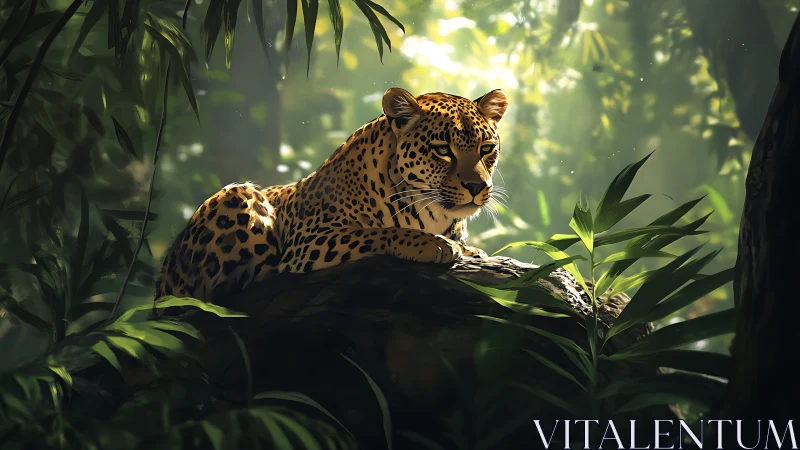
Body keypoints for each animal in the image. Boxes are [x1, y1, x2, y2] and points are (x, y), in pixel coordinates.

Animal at [154, 87, 508, 306]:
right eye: (442, 150)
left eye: (486, 149)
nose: (477, 187)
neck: (435, 213)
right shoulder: (310, 240)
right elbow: (378, 232)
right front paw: (433, 244)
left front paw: (470, 249)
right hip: (239, 194)